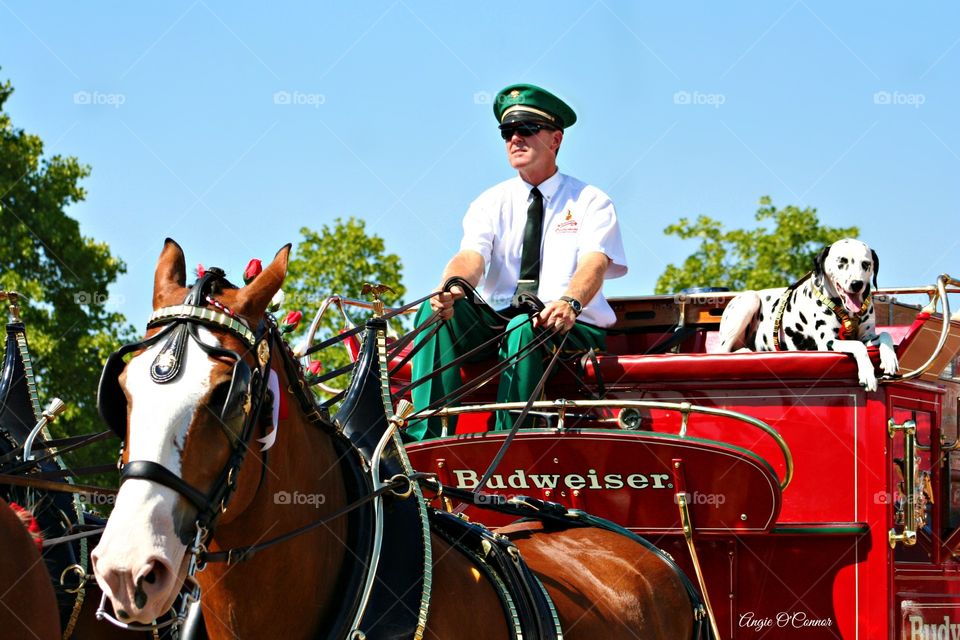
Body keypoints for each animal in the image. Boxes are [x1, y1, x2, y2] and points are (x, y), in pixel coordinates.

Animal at [720, 239, 900, 392]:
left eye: (866, 264)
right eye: (842, 261)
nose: (857, 284)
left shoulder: (867, 336)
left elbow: (885, 334)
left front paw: (889, 358)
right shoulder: (827, 342)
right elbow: (858, 345)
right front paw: (867, 373)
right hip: (749, 300)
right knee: (721, 351)